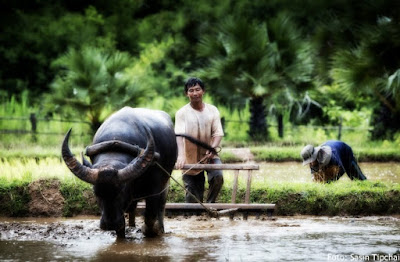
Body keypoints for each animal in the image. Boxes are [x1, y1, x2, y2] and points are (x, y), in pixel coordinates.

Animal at [61, 106, 177, 237]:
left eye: (121, 190)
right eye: (96, 192)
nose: (109, 224)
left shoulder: (155, 189)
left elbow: (150, 217)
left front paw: (151, 231)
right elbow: (121, 228)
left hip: (166, 181)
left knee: (161, 205)